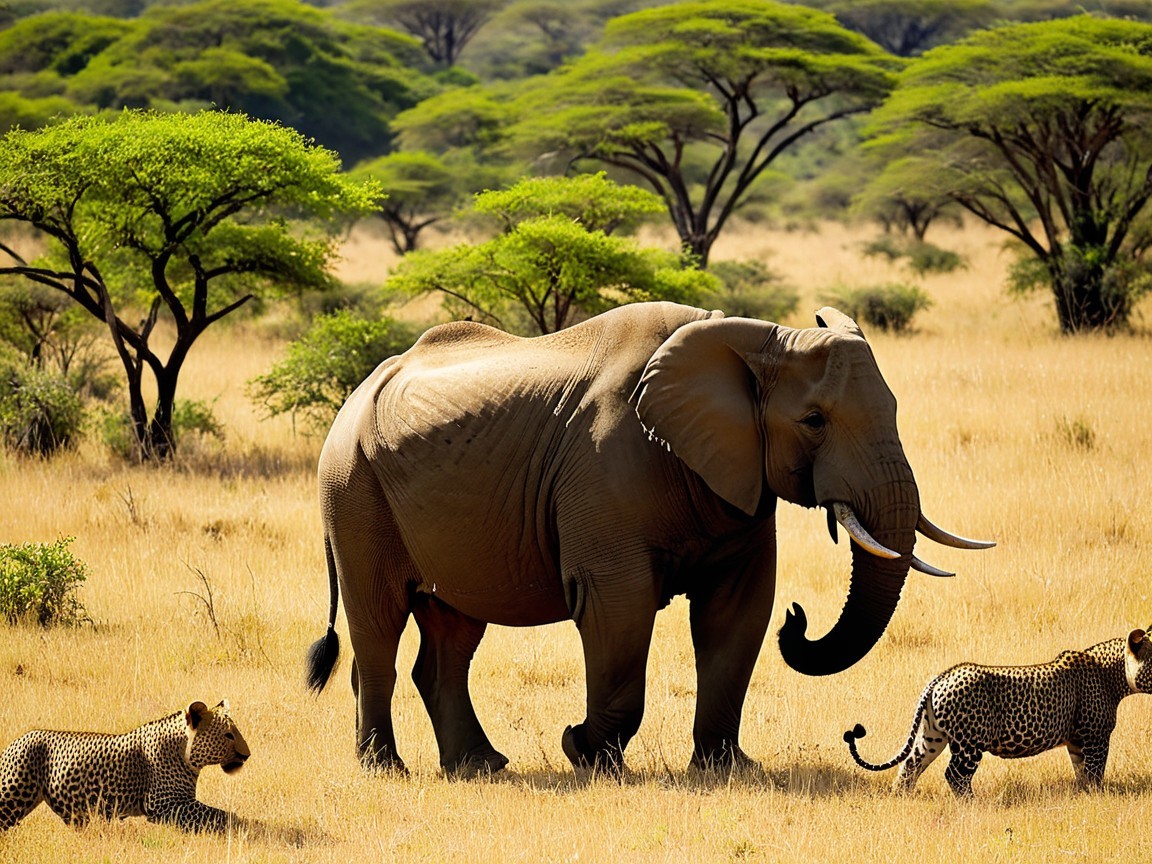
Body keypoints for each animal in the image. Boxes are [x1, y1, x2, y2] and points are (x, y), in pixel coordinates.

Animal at [306, 301, 992, 776]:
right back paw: (387, 770)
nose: (800, 620)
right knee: (379, 628)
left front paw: (726, 770)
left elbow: (738, 611)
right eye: (814, 421)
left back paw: (480, 768)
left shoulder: (738, 477)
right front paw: (585, 754)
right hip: (352, 487)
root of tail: (352, 398)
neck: (746, 341)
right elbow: (619, 606)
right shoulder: (603, 469)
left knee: (450, 635)